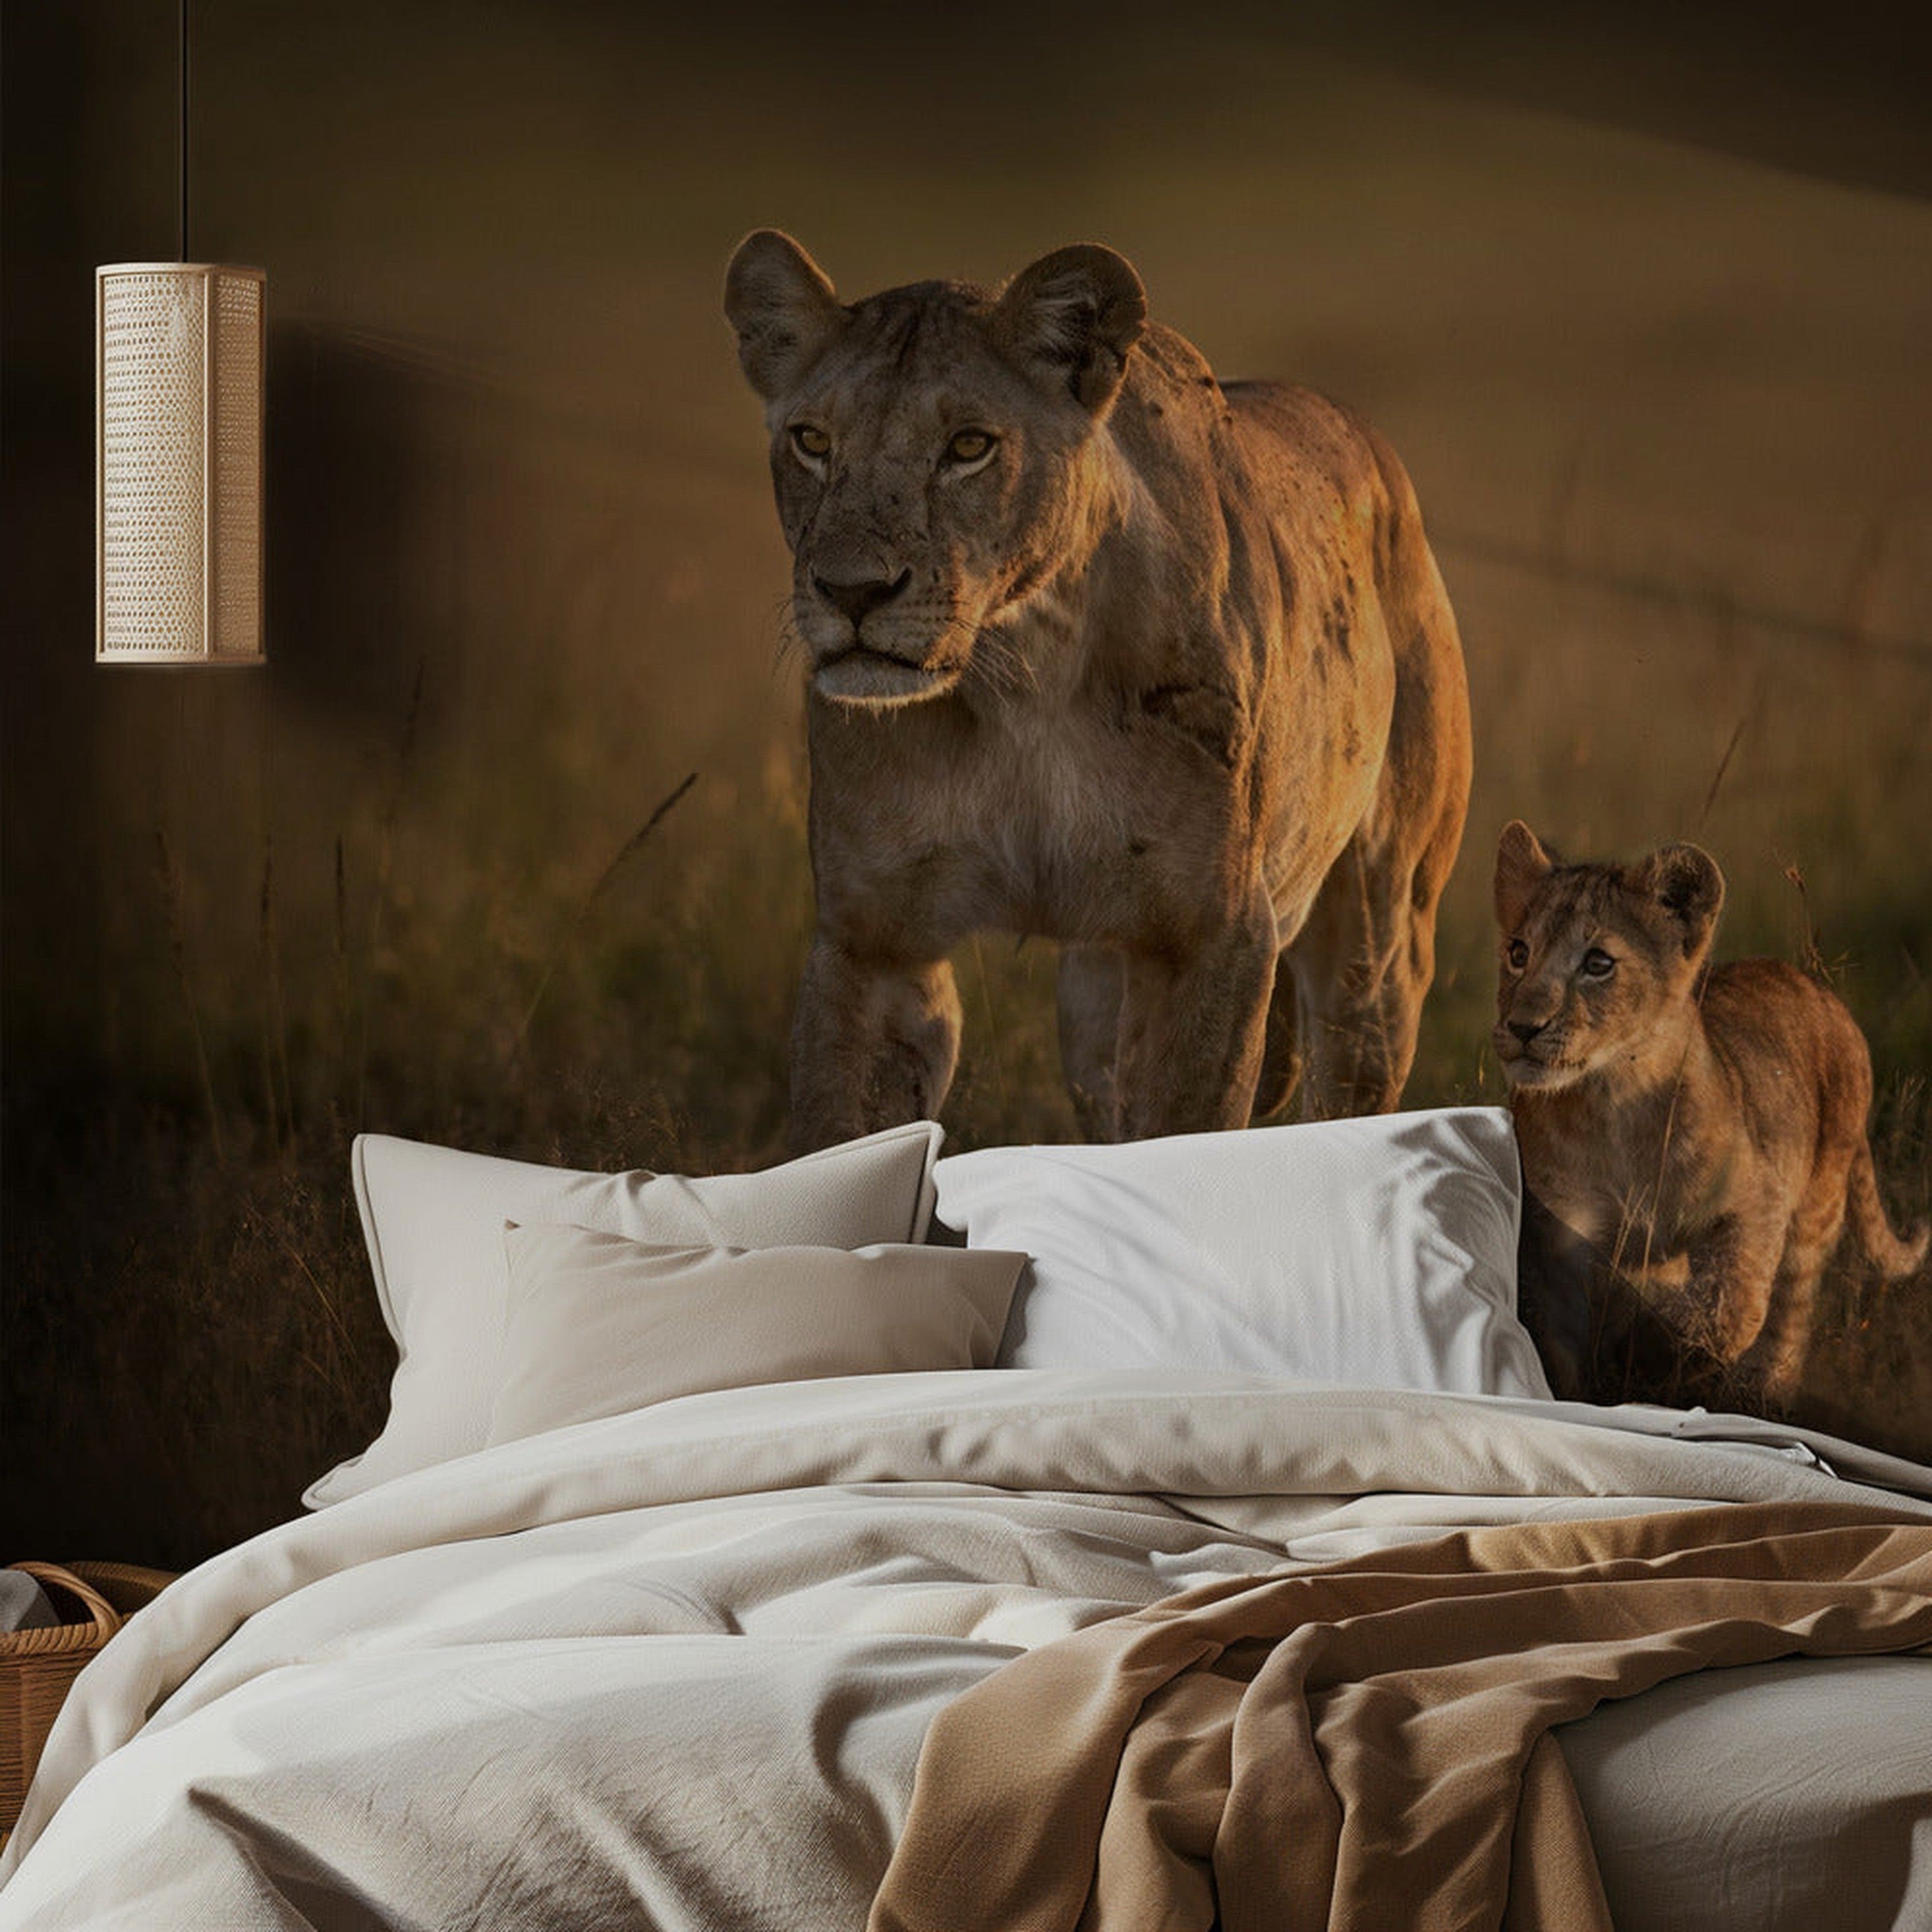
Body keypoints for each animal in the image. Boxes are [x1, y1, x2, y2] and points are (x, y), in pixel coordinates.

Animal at [724, 230, 1471, 1149]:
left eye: (969, 447)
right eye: (811, 441)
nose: (852, 590)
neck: (1019, 676)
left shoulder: (1214, 937)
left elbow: (1185, 1137)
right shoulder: (874, 943)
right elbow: (842, 1132)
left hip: (1378, 942)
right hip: (1097, 1000)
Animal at [1492, 819, 1928, 1404]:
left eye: (1598, 964)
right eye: (1519, 952)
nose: (1522, 1027)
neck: (1613, 1103)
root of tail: (1818, 989)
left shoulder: (1757, 1200)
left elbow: (1735, 1304)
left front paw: (1661, 1348)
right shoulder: (1559, 1236)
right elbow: (1559, 1350)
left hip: (1819, 1202)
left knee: (1790, 1309)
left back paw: (1764, 1390)